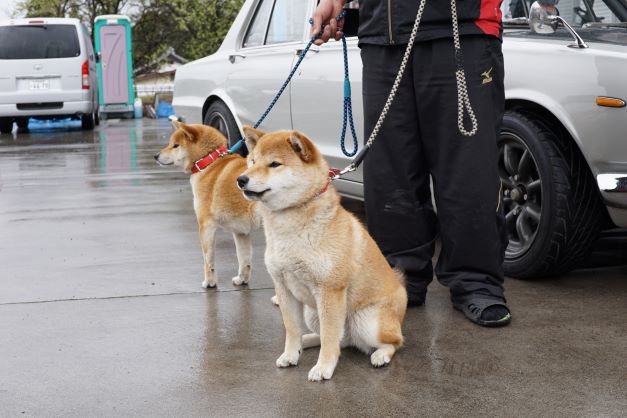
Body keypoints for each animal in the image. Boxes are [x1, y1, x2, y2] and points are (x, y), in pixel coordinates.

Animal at [156, 122, 262, 290]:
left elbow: (208, 259)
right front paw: (242, 280)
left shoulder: (206, 226)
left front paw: (210, 282)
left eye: (175, 145)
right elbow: (244, 258)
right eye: (170, 144)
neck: (208, 162)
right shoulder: (241, 231)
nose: (156, 156)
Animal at [237, 126, 408, 382]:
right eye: (252, 161)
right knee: (341, 340)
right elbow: (292, 328)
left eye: (274, 164)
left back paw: (381, 355)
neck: (288, 225)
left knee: (392, 342)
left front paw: (324, 367)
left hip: (366, 321)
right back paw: (305, 340)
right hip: (312, 312)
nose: (241, 179)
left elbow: (329, 337)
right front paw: (291, 353)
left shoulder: (329, 291)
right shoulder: (283, 287)